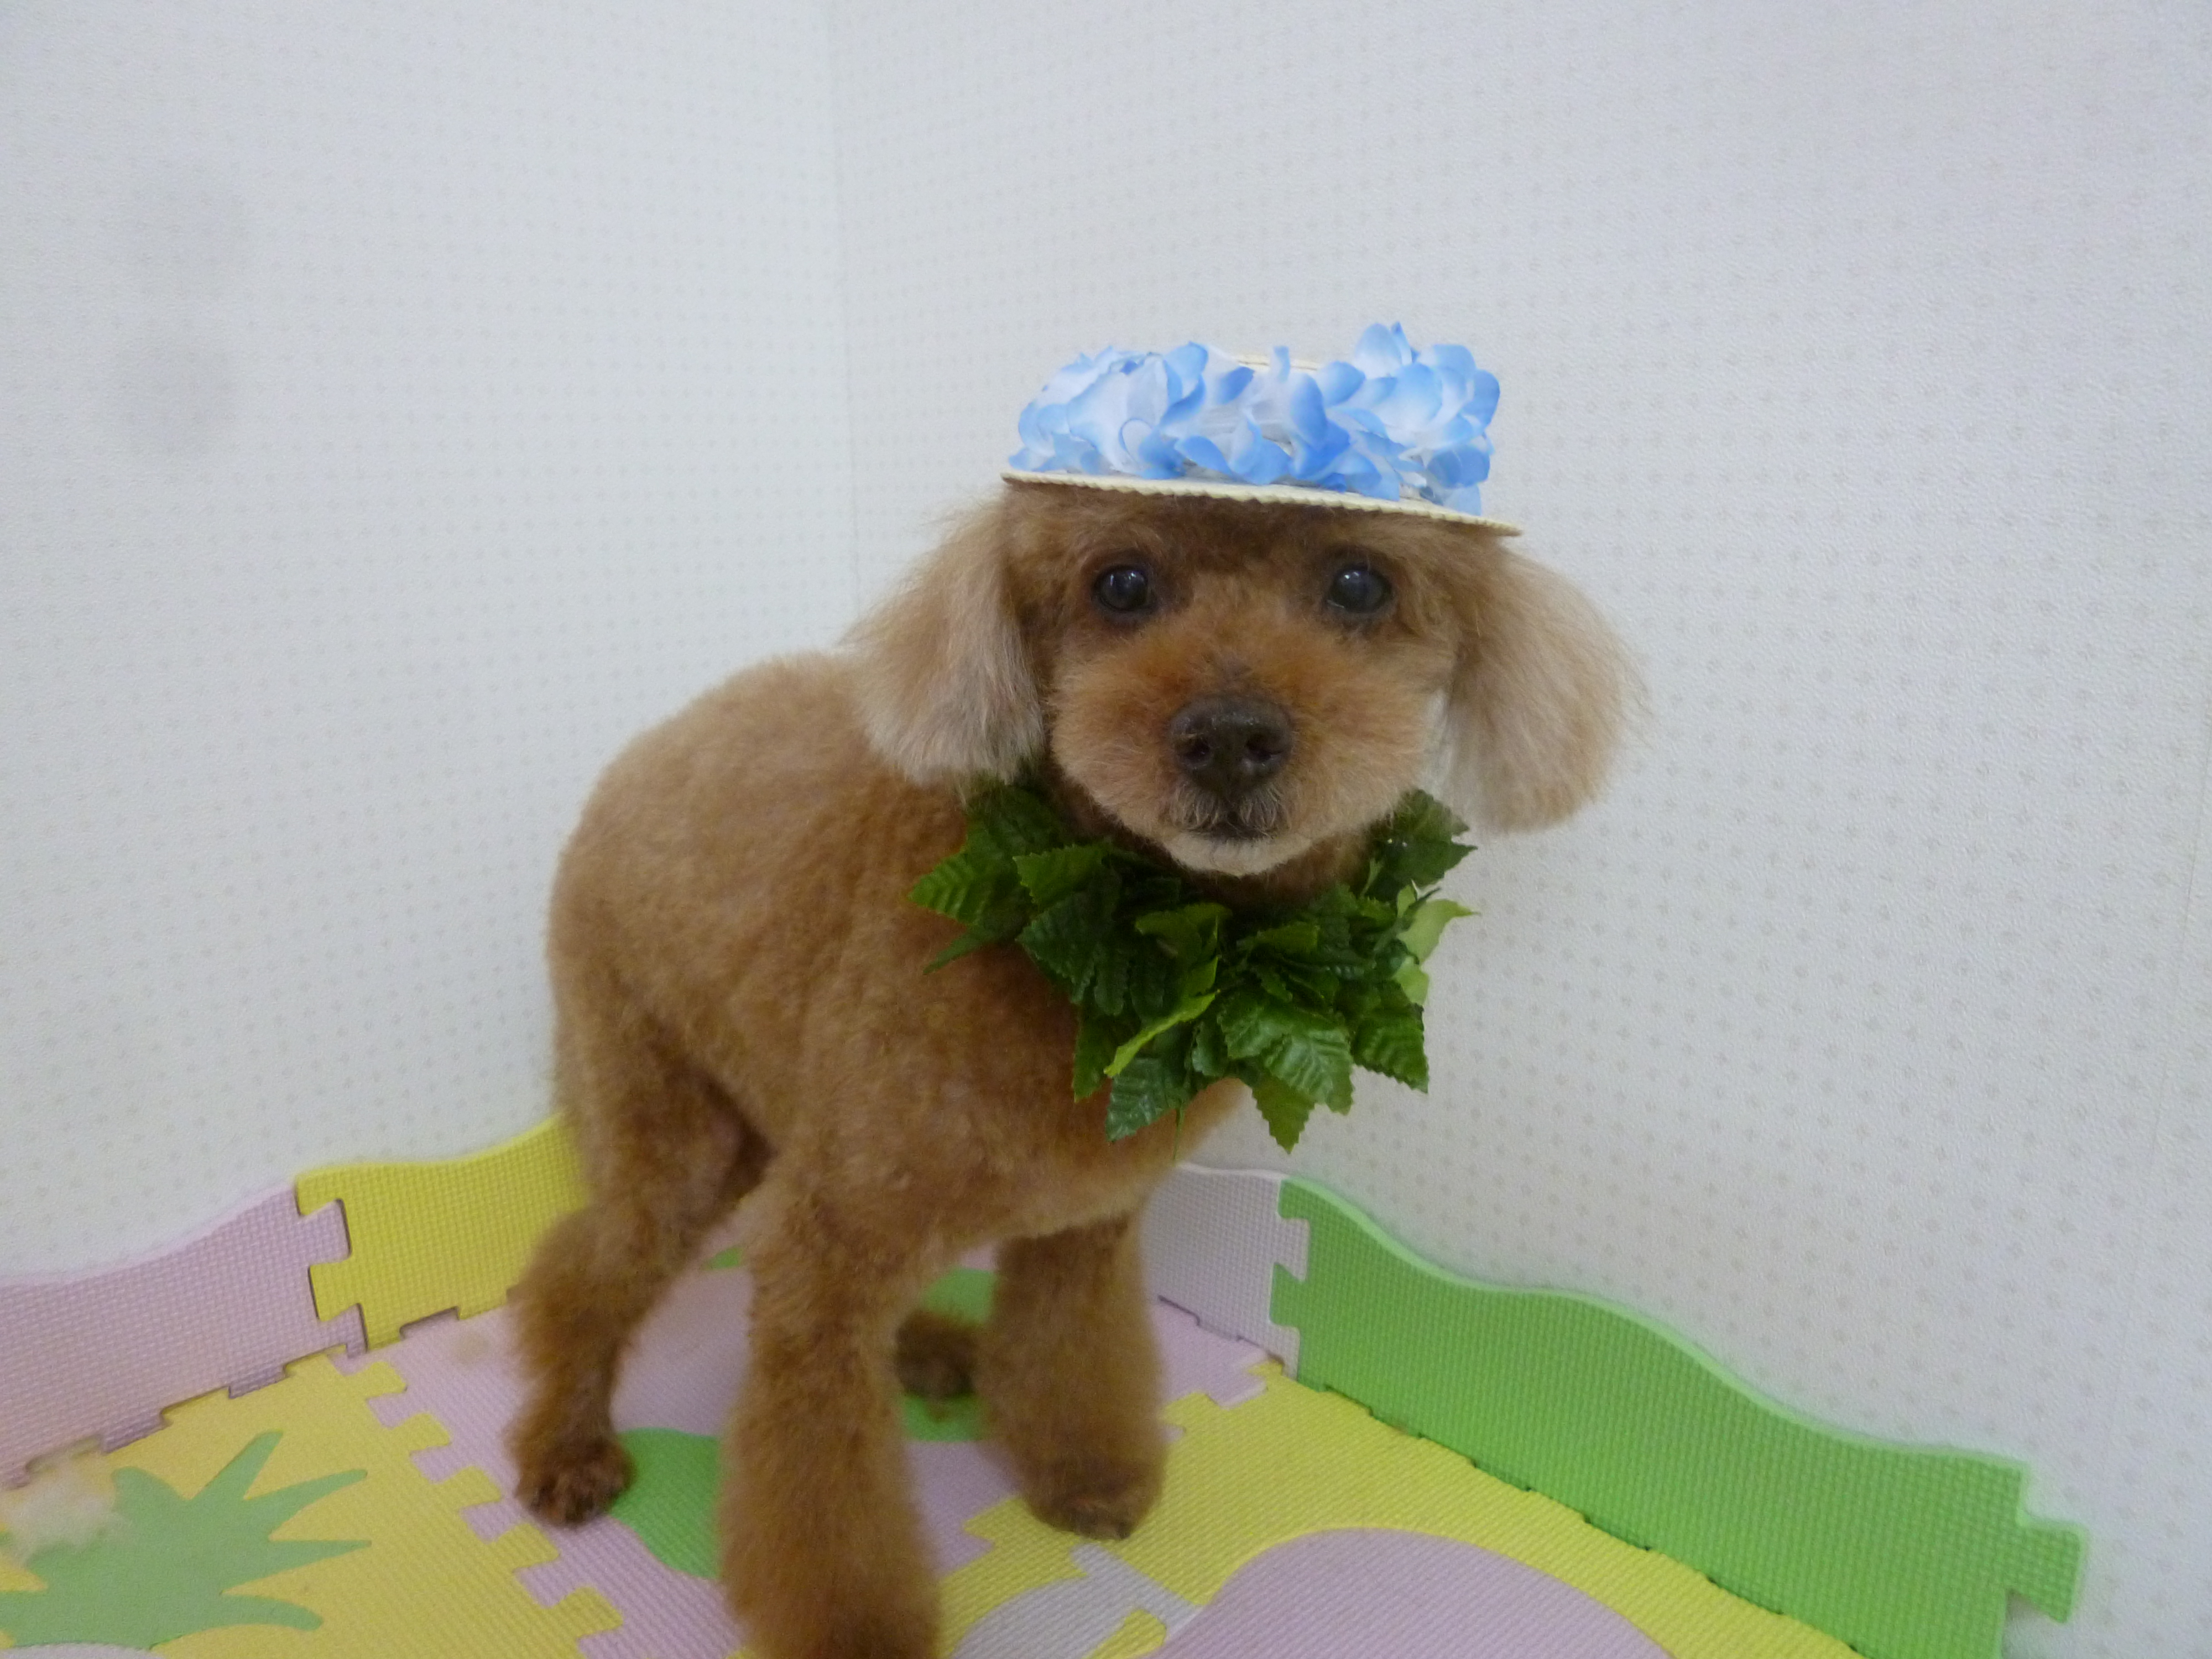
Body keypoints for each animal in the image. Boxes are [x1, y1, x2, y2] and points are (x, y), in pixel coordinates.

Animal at [506, 476, 1631, 1659]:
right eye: (1120, 583)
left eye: (1360, 583)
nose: (1230, 736)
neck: (1117, 934)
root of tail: (654, 742)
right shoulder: (828, 1250)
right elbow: (824, 1490)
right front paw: (860, 1631)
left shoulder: (1087, 1226)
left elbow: (1071, 1355)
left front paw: (1084, 1476)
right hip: (667, 1107)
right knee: (579, 1273)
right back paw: (568, 1448)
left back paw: (932, 1350)